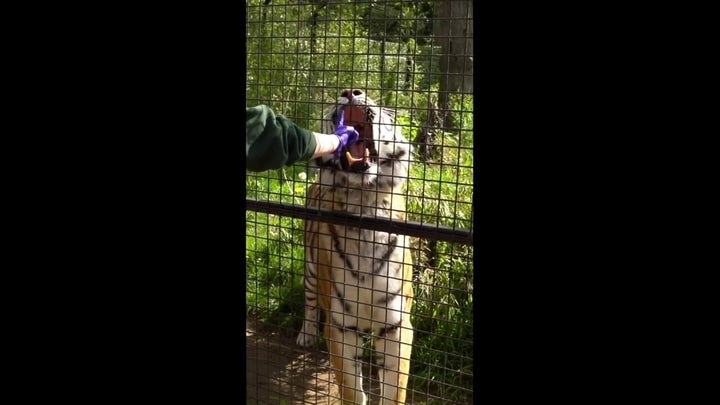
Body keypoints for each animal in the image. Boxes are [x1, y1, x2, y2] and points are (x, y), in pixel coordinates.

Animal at [296, 89, 414, 404]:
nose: (351, 91)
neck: (364, 202)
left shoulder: (396, 327)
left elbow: (393, 391)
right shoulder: (340, 327)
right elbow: (351, 389)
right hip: (311, 271)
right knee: (310, 304)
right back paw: (306, 335)